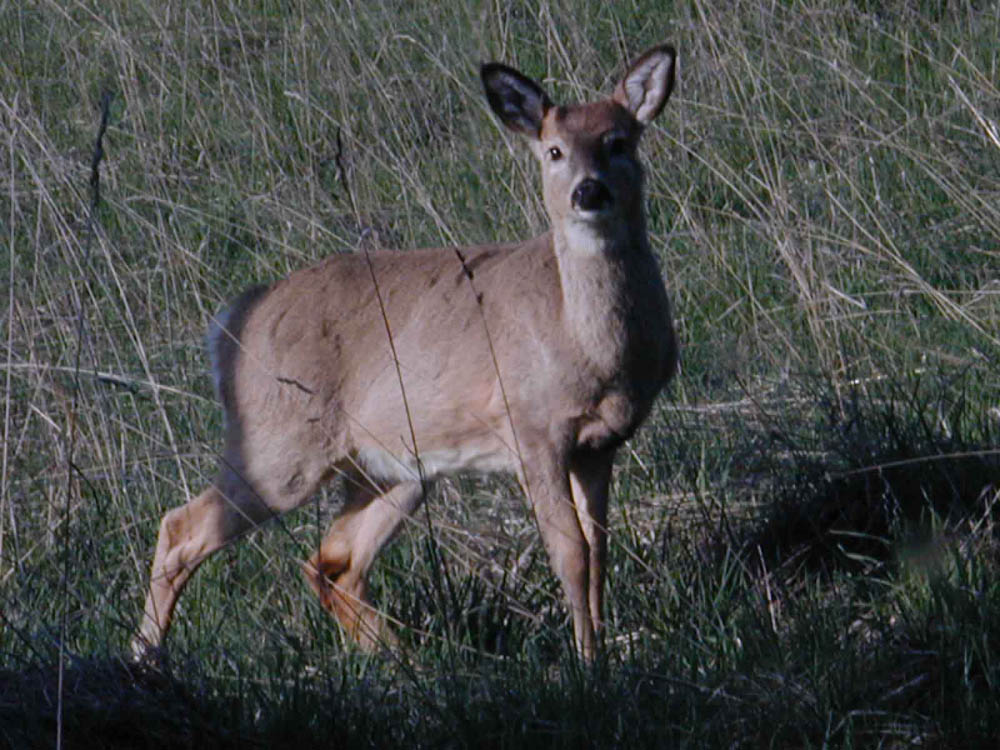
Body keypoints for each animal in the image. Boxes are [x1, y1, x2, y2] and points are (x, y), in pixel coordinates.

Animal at [133, 43, 678, 663]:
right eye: (554, 150)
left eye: (619, 141)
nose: (588, 192)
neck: (586, 342)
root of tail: (231, 321)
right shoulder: (532, 430)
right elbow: (571, 554)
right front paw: (588, 664)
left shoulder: (601, 444)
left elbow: (599, 552)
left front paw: (607, 653)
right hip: (280, 446)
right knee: (182, 527)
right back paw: (144, 658)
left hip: (393, 467)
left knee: (333, 562)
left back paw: (410, 659)